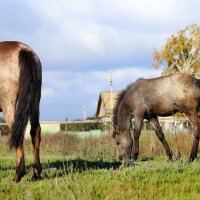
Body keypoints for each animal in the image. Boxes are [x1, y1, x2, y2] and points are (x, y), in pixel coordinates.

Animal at [0, 41, 41, 182]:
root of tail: (22, 49)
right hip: (35, 100)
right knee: (35, 130)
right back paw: (36, 173)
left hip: (9, 104)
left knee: (17, 132)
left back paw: (18, 174)